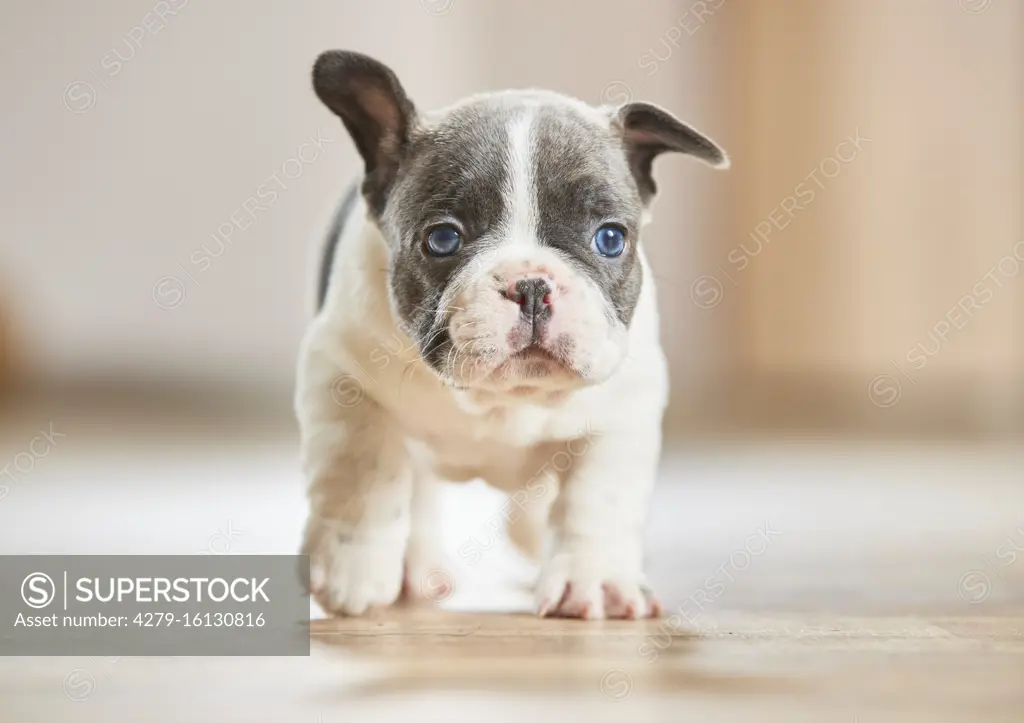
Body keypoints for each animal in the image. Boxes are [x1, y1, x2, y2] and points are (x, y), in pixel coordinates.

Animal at [296, 50, 729, 618]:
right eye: (442, 239)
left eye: (611, 239)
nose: (531, 285)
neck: (502, 398)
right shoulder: (341, 377)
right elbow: (361, 472)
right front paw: (353, 568)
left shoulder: (623, 412)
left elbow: (597, 496)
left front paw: (595, 580)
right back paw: (418, 568)